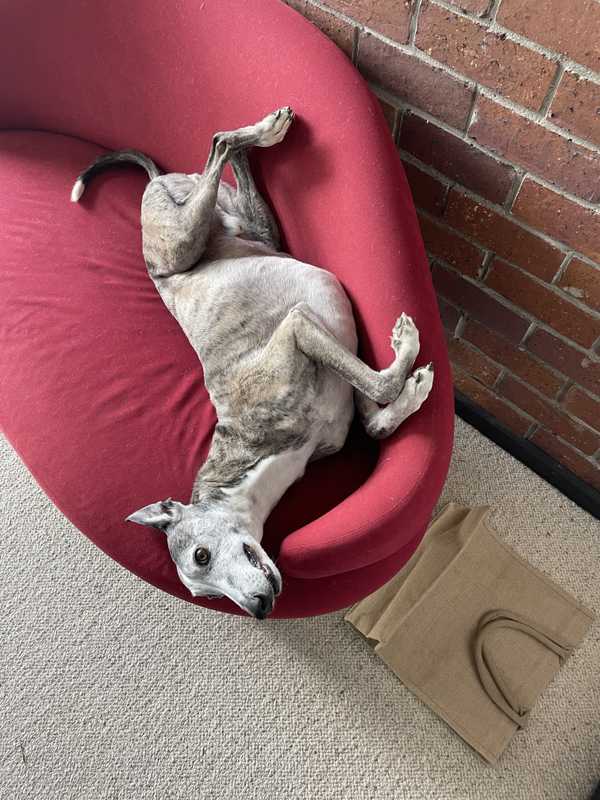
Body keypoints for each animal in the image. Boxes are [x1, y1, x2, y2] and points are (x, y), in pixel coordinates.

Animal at [72, 106, 434, 620]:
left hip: (181, 245)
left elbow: (378, 386)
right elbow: (376, 419)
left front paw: (406, 351)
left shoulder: (299, 327)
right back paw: (266, 133)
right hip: (252, 230)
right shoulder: (337, 387)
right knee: (229, 164)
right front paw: (412, 387)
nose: (259, 608)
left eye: (202, 555)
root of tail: (159, 179)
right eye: (207, 594)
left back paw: (264, 130)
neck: (262, 454)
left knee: (219, 142)